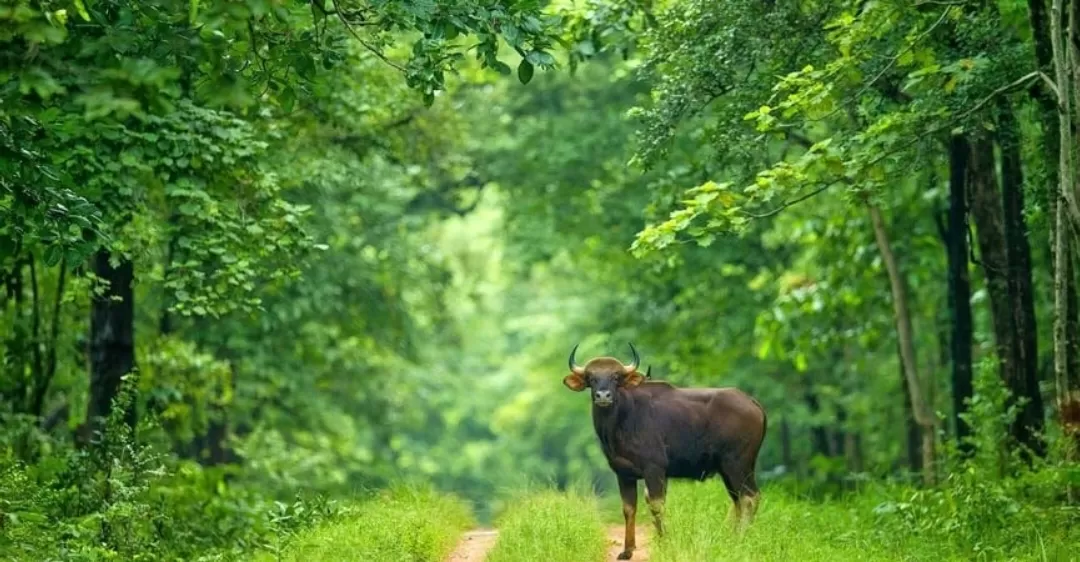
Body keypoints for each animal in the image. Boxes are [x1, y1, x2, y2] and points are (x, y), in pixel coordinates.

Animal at [565, 341, 768, 557]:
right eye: (591, 378)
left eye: (616, 377)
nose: (603, 395)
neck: (622, 420)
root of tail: (752, 402)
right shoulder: (624, 473)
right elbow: (629, 508)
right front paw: (628, 550)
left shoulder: (654, 469)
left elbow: (656, 505)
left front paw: (664, 543)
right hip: (727, 470)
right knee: (738, 500)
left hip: (738, 464)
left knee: (749, 497)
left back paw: (740, 539)